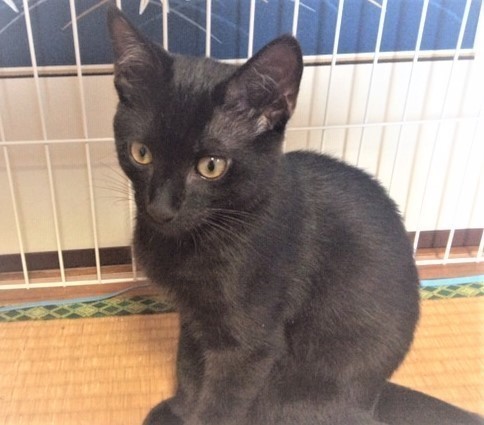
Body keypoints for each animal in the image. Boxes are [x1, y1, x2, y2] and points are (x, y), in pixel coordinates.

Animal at [107, 7, 483, 425]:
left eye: (211, 166)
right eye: (141, 153)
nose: (160, 209)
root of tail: (376, 398)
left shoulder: (247, 345)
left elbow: (219, 401)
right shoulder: (192, 316)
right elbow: (188, 368)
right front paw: (180, 410)